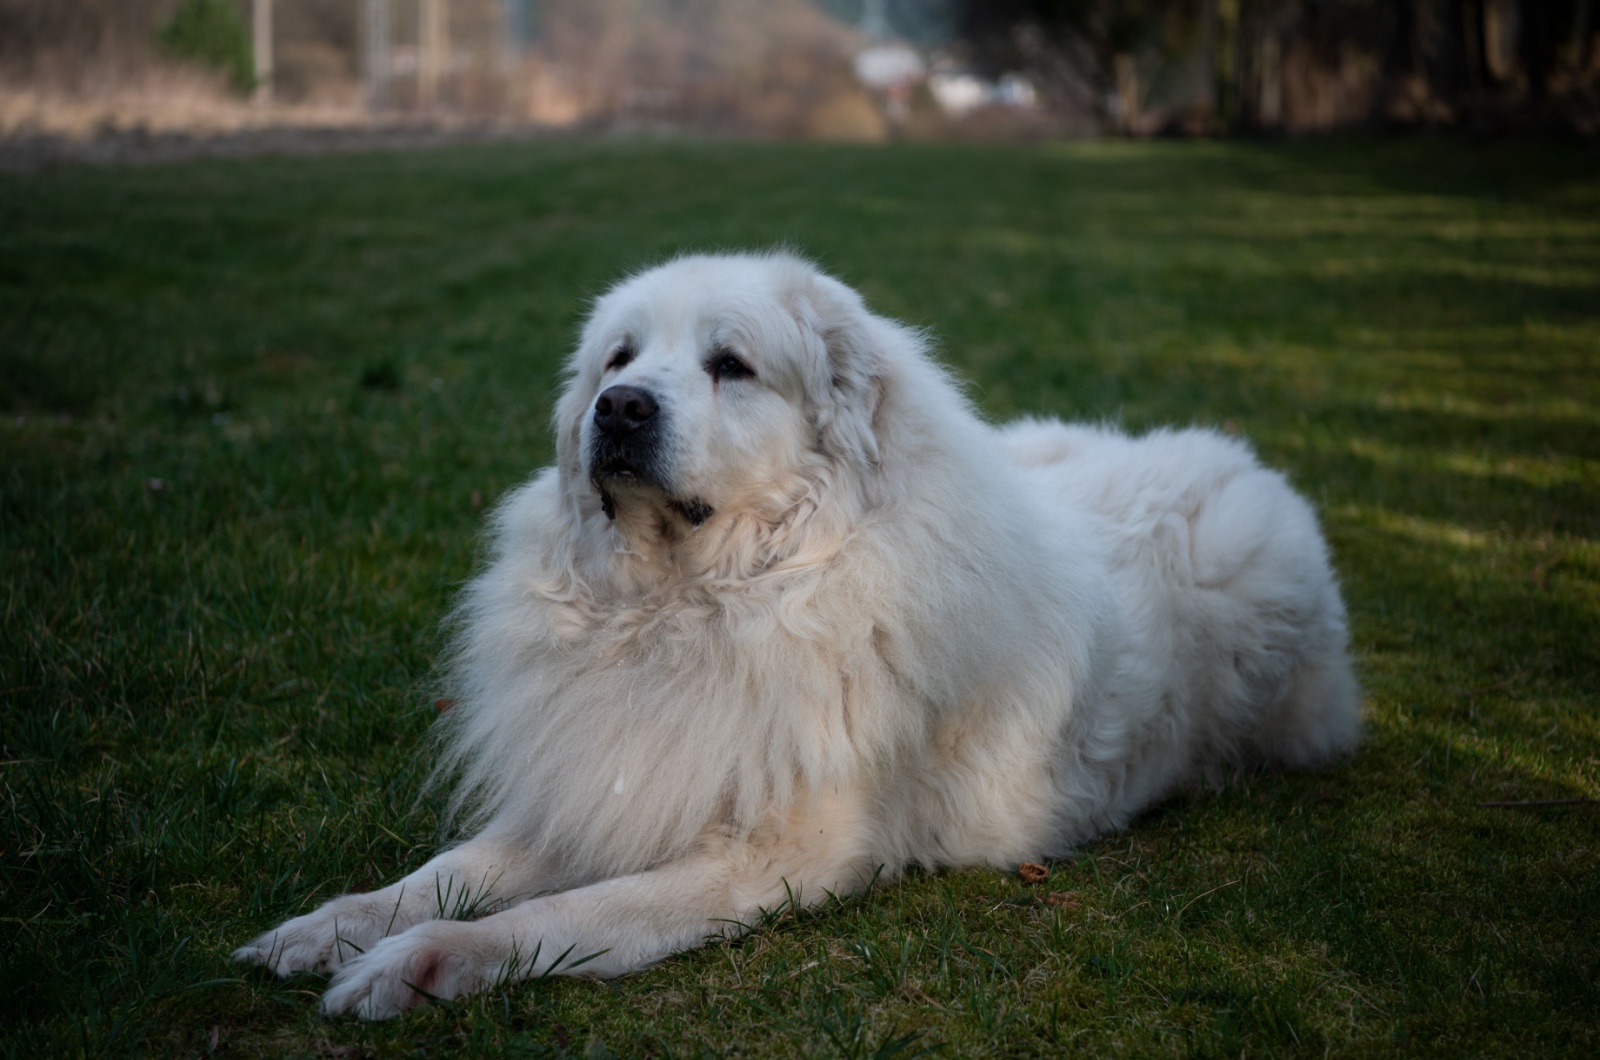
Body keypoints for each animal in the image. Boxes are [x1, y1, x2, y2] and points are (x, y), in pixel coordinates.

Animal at [233, 251, 1363, 1024]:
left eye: (729, 365)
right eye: (618, 357)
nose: (618, 408)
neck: (700, 603)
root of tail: (1243, 462)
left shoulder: (776, 855)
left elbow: (559, 918)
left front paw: (420, 966)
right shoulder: (613, 784)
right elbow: (449, 871)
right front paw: (331, 925)